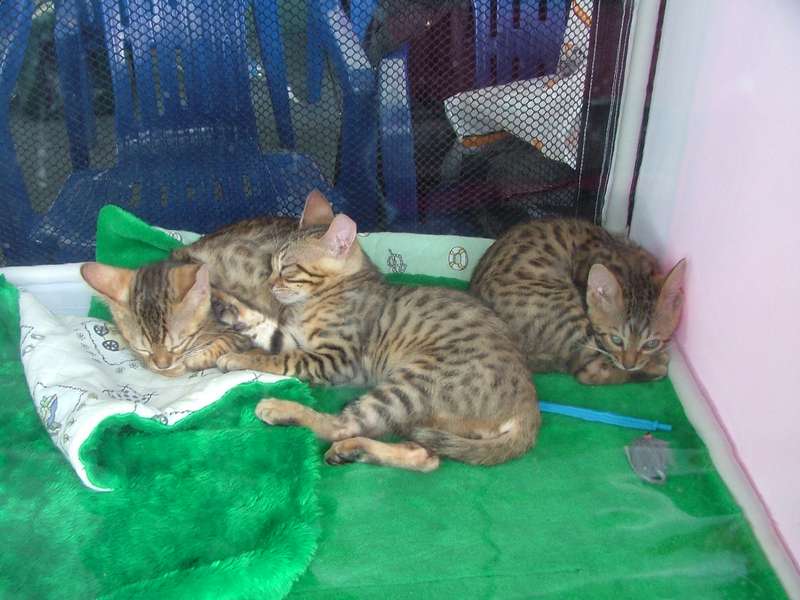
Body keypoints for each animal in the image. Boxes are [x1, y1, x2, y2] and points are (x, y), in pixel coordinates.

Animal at [214, 196, 540, 471]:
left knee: (341, 425)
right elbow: (268, 334)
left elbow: (279, 357)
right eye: (270, 266)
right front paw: (233, 324)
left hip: (409, 384)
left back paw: (281, 409)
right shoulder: (296, 339)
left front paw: (238, 351)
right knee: (426, 457)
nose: (269, 284)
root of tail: (529, 407)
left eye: (287, 270)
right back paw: (352, 451)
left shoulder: (336, 359)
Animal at [469, 219, 685, 385]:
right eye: (616, 340)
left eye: (651, 343)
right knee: (590, 371)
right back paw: (655, 367)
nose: (629, 364)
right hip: (566, 311)